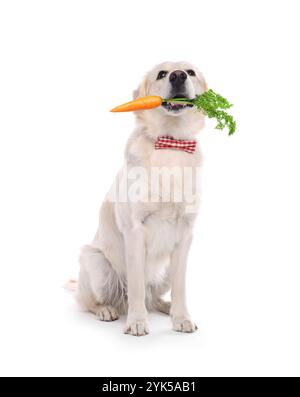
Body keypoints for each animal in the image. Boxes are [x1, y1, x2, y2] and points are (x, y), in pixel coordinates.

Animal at [76, 61, 207, 334]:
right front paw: (136, 321)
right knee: (91, 301)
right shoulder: (135, 230)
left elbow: (181, 287)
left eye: (190, 72)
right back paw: (106, 310)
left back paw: (167, 308)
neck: (170, 144)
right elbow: (135, 284)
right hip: (95, 262)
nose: (178, 76)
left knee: (153, 297)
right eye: (161, 74)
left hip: (164, 270)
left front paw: (182, 317)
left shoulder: (186, 233)